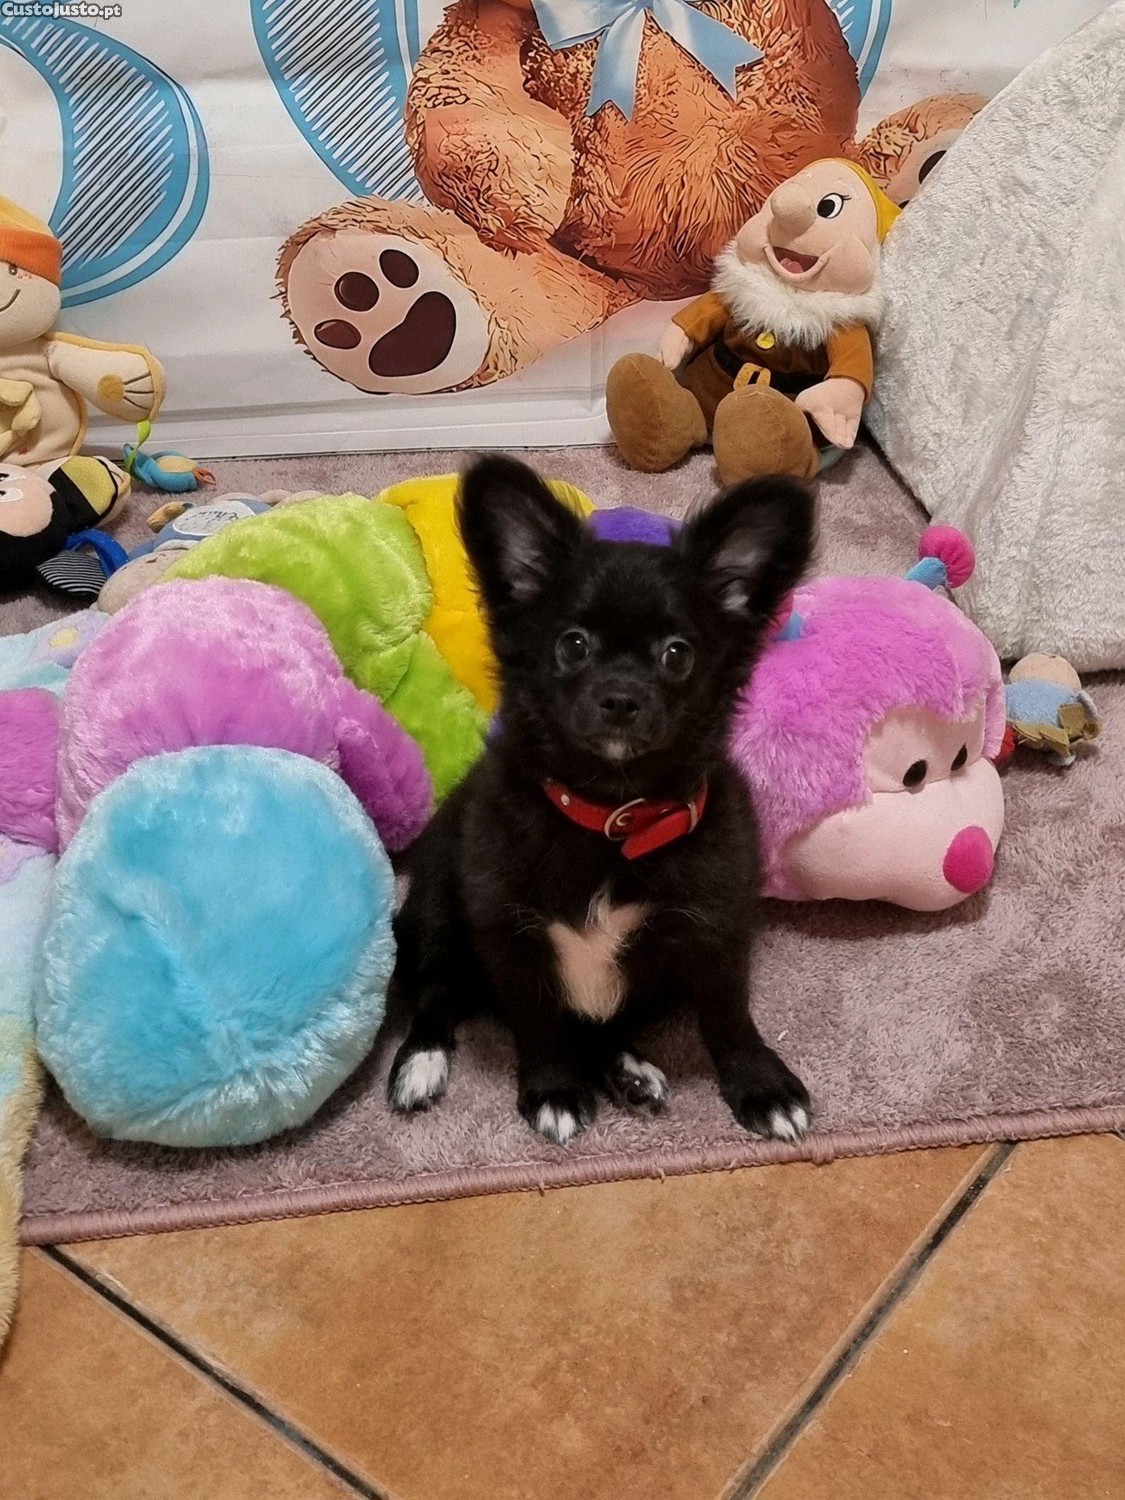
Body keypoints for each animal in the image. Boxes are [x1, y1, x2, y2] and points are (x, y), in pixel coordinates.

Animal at [388, 455, 815, 1145]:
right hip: (437, 916)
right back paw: (422, 1061)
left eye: (678, 654)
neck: (613, 816)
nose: (620, 698)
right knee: (436, 992)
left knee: (603, 1027)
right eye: (573, 645)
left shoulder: (715, 930)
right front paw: (554, 1089)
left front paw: (762, 1085)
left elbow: (728, 1015)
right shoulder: (509, 934)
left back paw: (629, 1068)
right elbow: (538, 1021)